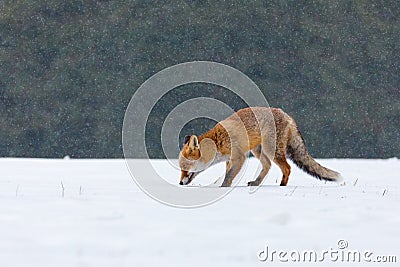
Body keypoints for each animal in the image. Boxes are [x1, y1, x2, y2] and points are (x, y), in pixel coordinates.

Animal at [180, 108, 342, 187]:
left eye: (185, 168)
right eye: (181, 169)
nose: (180, 183)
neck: (218, 142)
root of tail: (288, 116)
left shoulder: (239, 157)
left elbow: (229, 176)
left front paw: (223, 188)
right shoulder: (229, 160)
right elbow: (228, 174)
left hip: (272, 150)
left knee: (287, 168)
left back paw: (282, 186)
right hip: (258, 150)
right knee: (268, 165)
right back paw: (256, 183)